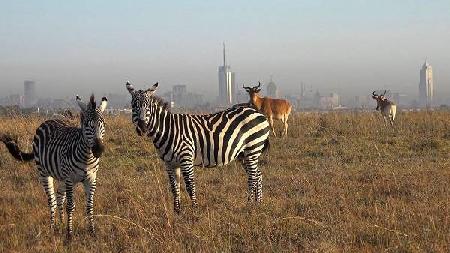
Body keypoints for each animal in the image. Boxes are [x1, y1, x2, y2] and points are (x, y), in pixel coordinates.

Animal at [0, 95, 107, 239]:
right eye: (86, 125)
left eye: (103, 125)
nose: (99, 150)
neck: (87, 157)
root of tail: (48, 120)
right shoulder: (70, 179)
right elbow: (70, 206)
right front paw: (69, 234)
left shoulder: (91, 179)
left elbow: (89, 206)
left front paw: (92, 232)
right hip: (44, 173)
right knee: (52, 201)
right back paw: (52, 228)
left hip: (61, 177)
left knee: (60, 197)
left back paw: (61, 224)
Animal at [125, 81, 268, 213]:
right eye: (134, 106)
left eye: (148, 107)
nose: (142, 128)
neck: (168, 130)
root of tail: (257, 113)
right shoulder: (170, 163)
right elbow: (174, 187)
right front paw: (177, 212)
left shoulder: (186, 158)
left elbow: (190, 185)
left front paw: (195, 210)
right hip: (243, 154)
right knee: (258, 174)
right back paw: (258, 203)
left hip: (252, 148)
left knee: (253, 177)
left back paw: (249, 204)